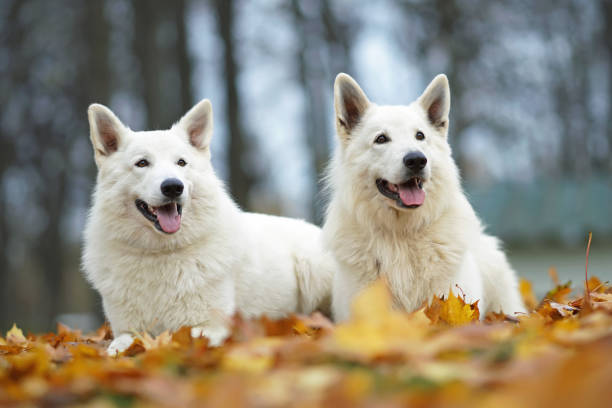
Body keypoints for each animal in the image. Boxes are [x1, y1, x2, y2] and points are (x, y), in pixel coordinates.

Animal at [83, 99, 332, 354]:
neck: (160, 253)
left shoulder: (207, 326)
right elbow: (116, 348)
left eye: (181, 162)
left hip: (312, 270)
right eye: (142, 163)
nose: (173, 187)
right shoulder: (127, 330)